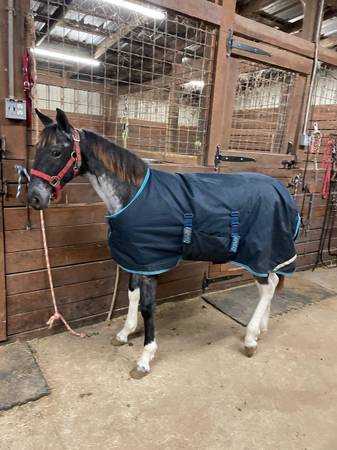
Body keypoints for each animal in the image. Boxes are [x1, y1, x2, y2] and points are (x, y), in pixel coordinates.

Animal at [27, 109, 298, 380]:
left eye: (56, 152)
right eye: (37, 151)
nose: (34, 198)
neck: (133, 194)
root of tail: (280, 189)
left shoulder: (150, 264)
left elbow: (147, 307)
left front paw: (144, 359)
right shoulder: (135, 260)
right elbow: (132, 296)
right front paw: (125, 333)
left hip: (258, 253)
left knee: (267, 287)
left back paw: (251, 338)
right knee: (271, 283)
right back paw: (261, 329)